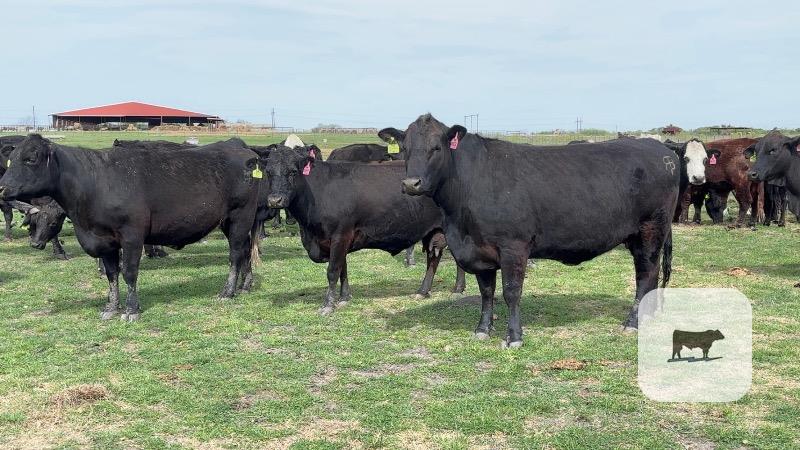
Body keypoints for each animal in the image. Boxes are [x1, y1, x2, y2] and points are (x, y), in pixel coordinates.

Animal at [0, 134, 262, 321]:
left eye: (30, 158)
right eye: (11, 160)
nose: (1, 187)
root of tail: (237, 145)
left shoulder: (132, 236)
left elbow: (129, 272)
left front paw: (131, 310)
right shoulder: (104, 241)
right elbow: (111, 274)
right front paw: (111, 307)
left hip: (240, 216)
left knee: (235, 254)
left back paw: (227, 291)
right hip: (229, 221)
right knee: (245, 251)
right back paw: (245, 285)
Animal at [263, 143, 466, 315]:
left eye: (292, 171)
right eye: (268, 172)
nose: (274, 200)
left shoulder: (340, 235)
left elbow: (333, 271)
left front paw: (328, 305)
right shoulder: (340, 240)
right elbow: (343, 269)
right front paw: (344, 298)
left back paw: (457, 288)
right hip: (433, 232)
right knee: (433, 259)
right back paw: (423, 291)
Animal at [382, 114, 679, 347]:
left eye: (436, 147)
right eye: (405, 148)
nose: (411, 183)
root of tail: (658, 148)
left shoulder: (513, 246)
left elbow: (511, 292)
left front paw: (514, 337)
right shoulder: (479, 249)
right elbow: (486, 291)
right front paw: (482, 329)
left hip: (651, 230)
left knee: (645, 274)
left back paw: (633, 323)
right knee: (651, 276)